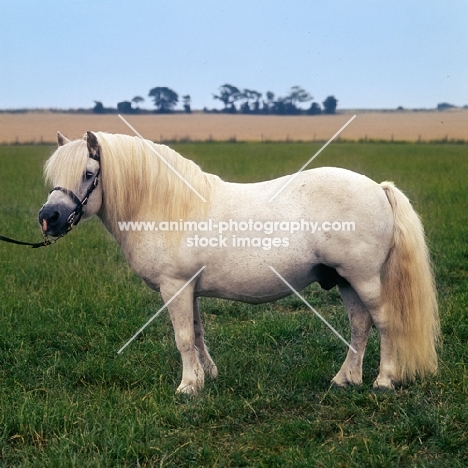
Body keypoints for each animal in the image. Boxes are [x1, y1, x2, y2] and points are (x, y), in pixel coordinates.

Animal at [39, 133, 438, 394]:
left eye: (88, 174)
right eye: (53, 177)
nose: (49, 218)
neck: (168, 207)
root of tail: (378, 188)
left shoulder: (175, 287)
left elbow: (183, 338)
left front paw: (188, 387)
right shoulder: (189, 290)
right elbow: (197, 333)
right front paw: (206, 376)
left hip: (364, 278)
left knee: (383, 322)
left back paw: (383, 380)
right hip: (344, 280)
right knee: (359, 324)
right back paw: (345, 379)